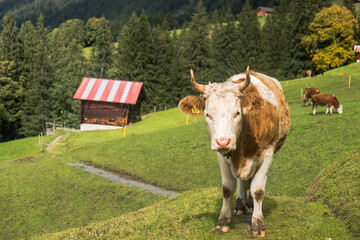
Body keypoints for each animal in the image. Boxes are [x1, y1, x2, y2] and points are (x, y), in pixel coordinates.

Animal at [179, 66, 292, 237]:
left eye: (237, 112)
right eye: (207, 114)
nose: (223, 141)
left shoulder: (268, 152)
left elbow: (258, 190)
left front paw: (258, 224)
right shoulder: (221, 155)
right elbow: (227, 188)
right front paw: (223, 221)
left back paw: (250, 205)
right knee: (241, 181)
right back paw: (240, 204)